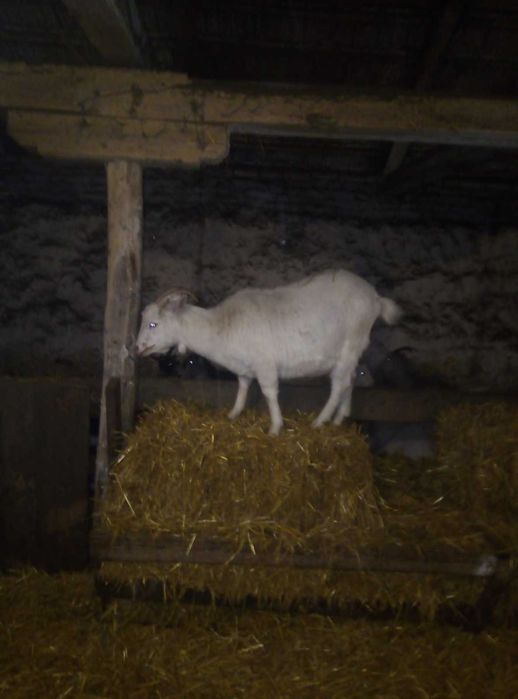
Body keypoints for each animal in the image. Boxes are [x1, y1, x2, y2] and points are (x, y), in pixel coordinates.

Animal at [136, 270, 401, 435]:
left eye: (153, 324)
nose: (137, 348)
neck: (222, 325)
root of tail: (376, 299)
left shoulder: (265, 364)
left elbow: (269, 393)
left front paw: (275, 427)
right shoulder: (245, 367)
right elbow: (242, 387)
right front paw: (233, 414)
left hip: (349, 346)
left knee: (339, 385)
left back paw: (320, 421)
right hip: (353, 353)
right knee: (350, 379)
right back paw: (339, 418)